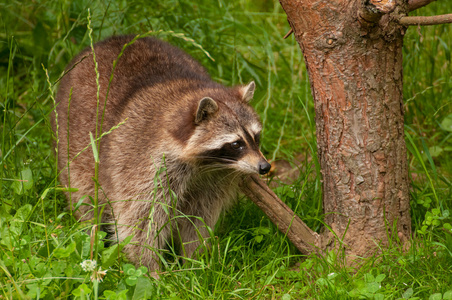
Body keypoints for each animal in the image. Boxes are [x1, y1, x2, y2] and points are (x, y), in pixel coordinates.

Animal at [53, 35, 272, 272]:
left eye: (256, 137)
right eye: (236, 144)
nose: (264, 167)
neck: (205, 164)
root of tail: (110, 40)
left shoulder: (214, 178)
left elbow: (199, 215)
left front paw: (195, 257)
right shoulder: (144, 163)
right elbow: (140, 220)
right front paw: (150, 267)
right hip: (72, 138)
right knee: (84, 193)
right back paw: (89, 231)